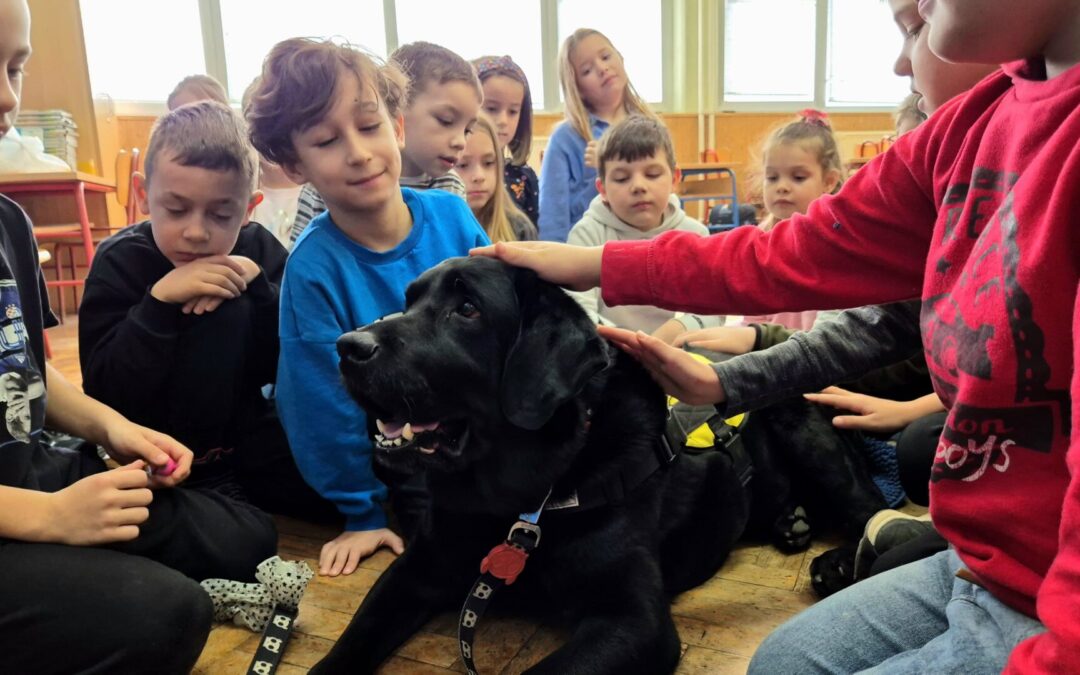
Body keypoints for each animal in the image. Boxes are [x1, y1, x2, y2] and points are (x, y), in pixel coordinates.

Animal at [313, 254, 751, 669]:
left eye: (468, 308)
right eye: (409, 302)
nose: (347, 346)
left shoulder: (634, 620)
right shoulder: (416, 567)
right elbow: (347, 643)